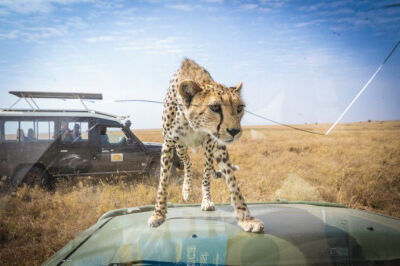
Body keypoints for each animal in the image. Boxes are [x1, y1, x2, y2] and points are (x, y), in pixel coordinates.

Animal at [148, 58, 264, 233]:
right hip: (180, 147)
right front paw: (158, 214)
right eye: (215, 107)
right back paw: (186, 189)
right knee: (188, 163)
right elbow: (162, 182)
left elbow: (227, 182)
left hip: (215, 147)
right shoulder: (168, 143)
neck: (192, 123)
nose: (235, 131)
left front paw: (246, 218)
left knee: (205, 170)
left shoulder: (211, 144)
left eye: (239, 108)